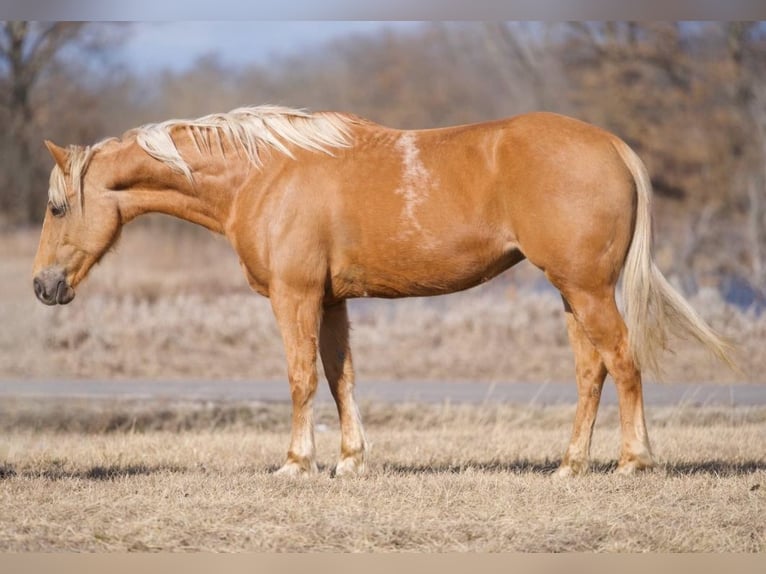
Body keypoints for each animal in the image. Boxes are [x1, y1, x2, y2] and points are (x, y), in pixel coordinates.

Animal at [32, 105, 732, 477]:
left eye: (58, 207)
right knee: (592, 371)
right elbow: (339, 376)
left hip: (586, 290)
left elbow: (301, 378)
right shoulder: (331, 301)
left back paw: (633, 460)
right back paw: (569, 466)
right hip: (570, 293)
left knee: (624, 361)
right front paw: (349, 460)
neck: (265, 175)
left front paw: (296, 463)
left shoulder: (295, 297)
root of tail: (612, 145)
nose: (42, 286)